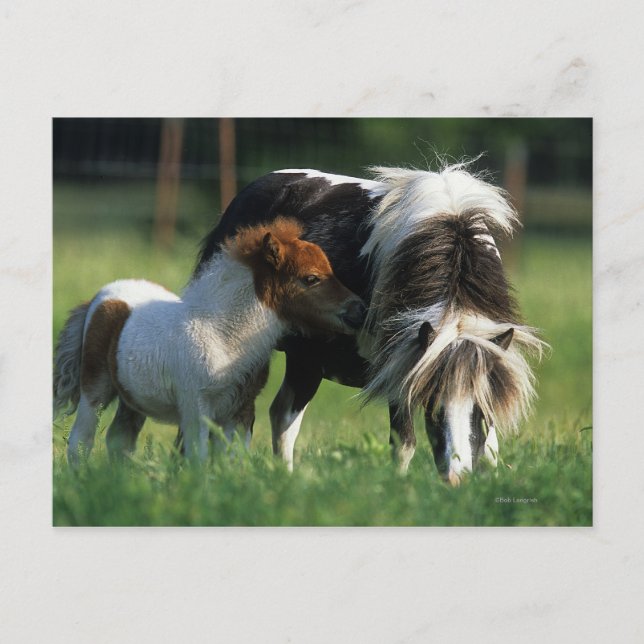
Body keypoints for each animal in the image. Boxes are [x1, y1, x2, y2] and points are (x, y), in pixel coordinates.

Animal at [53, 217, 366, 465]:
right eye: (310, 278)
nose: (359, 310)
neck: (222, 335)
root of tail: (101, 296)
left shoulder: (240, 410)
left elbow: (232, 459)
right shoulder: (196, 408)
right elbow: (199, 459)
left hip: (134, 396)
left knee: (120, 440)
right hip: (95, 386)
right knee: (81, 441)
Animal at [195, 165, 545, 483]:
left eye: (479, 411)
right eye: (432, 406)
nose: (455, 478)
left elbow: (490, 448)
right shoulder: (400, 368)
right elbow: (404, 444)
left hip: (305, 360)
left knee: (282, 417)